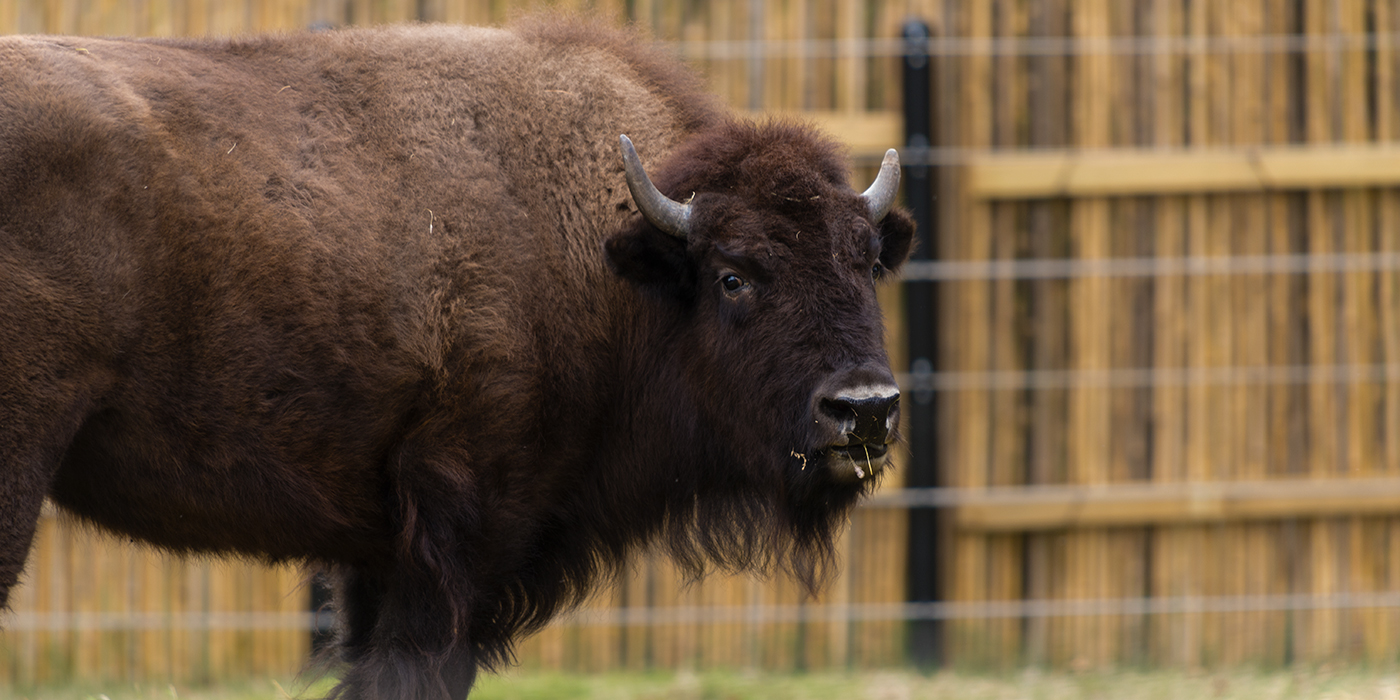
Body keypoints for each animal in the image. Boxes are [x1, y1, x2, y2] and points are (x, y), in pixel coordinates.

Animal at [0, 17, 912, 700]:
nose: (865, 408)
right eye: (733, 276)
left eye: (867, 261)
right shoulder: (453, 539)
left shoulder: (382, 558)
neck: (606, 259)